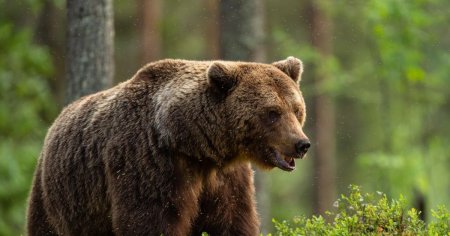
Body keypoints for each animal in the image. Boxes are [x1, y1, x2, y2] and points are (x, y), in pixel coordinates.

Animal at [26, 57, 312, 236]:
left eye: (297, 109)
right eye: (272, 112)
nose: (302, 144)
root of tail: (55, 122)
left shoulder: (225, 179)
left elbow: (232, 220)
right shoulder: (149, 163)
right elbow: (151, 220)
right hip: (58, 197)